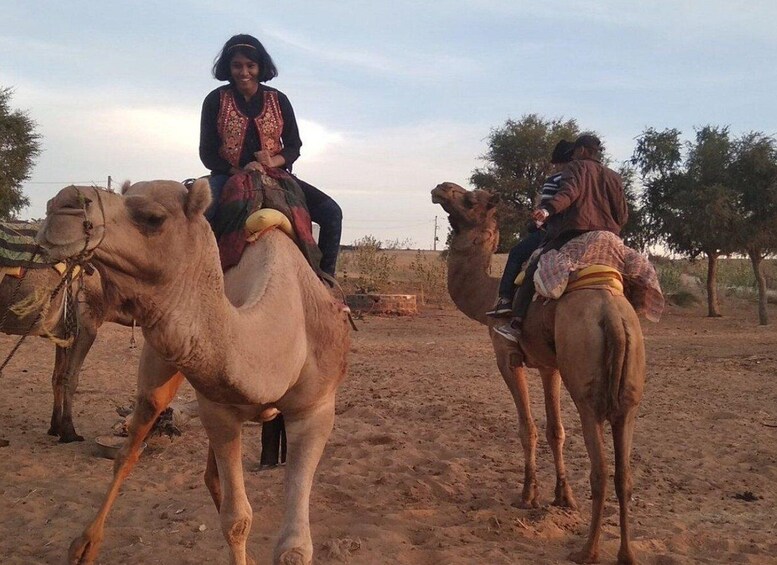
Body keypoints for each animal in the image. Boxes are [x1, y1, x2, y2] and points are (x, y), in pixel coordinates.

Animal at [38, 181, 348, 564]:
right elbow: (236, 519)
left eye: (153, 217)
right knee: (131, 448)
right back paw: (85, 546)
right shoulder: (218, 409)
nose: (61, 205)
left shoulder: (315, 408)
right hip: (160, 370)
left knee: (208, 475)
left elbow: (293, 547)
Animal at [430, 183, 644, 560]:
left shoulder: (507, 358)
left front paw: (528, 495)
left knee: (601, 468)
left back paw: (587, 551)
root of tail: (614, 319)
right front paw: (562, 497)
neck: (485, 295)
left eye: (469, 199)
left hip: (588, 392)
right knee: (623, 473)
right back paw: (626, 554)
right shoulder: (549, 366)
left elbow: (527, 427)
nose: (441, 188)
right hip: (628, 394)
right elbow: (555, 430)